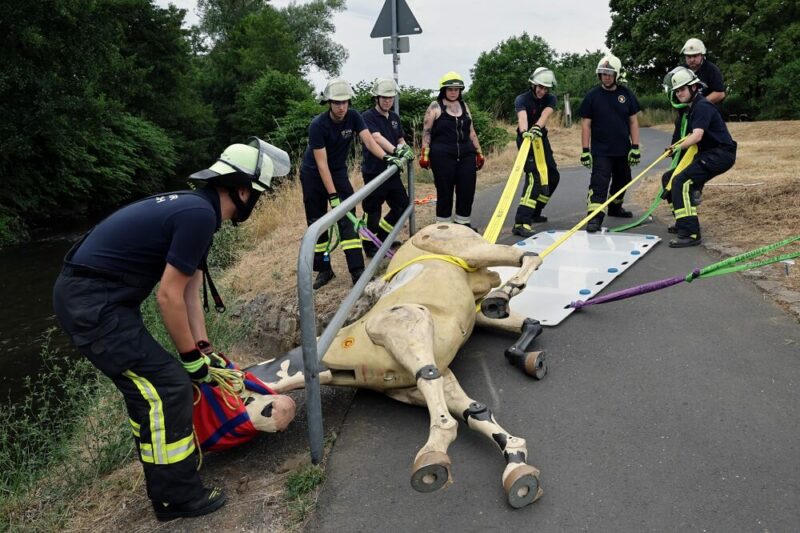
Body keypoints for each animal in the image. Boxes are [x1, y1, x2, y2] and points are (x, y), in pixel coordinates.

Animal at [250, 221, 552, 508]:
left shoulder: (406, 322)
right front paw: (518, 468)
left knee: (526, 257)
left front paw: (432, 460)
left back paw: (501, 297)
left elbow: (430, 381)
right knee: (520, 309)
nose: (274, 415)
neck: (344, 349)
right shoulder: (431, 379)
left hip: (467, 251)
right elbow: (476, 411)